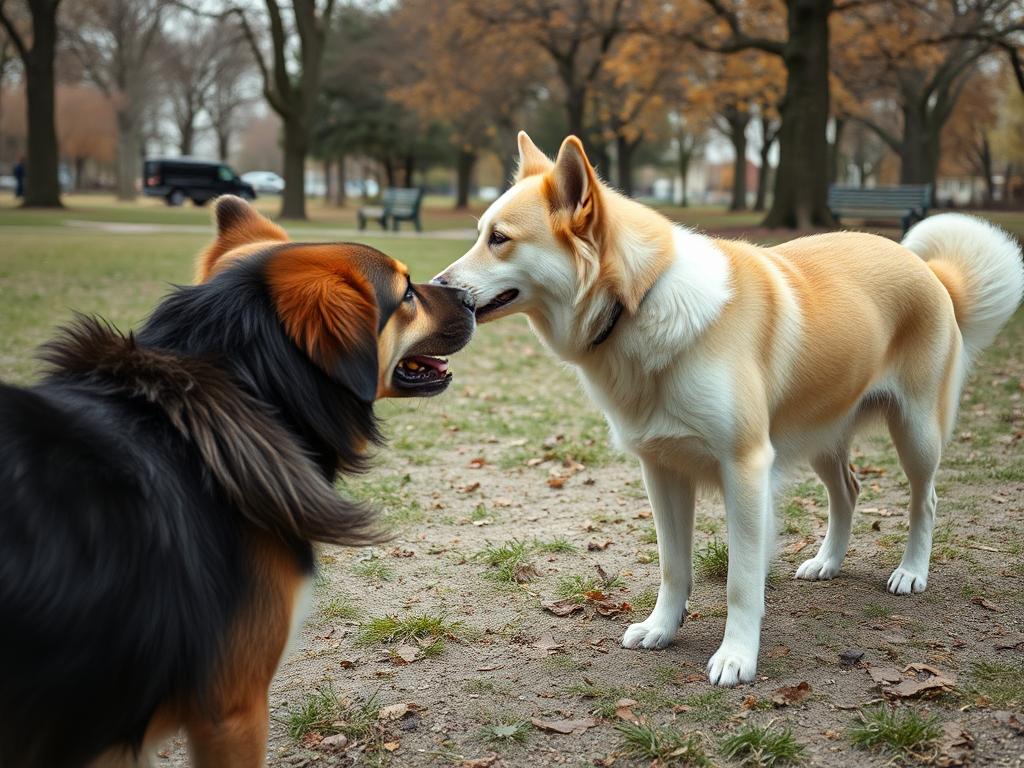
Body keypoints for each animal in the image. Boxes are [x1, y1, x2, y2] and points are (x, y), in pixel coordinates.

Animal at [434, 131, 1024, 684]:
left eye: (499, 239)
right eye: (480, 234)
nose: (439, 290)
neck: (639, 301)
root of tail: (931, 271)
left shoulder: (745, 468)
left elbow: (742, 580)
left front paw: (737, 657)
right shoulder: (662, 470)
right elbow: (673, 567)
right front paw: (662, 628)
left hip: (916, 432)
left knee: (926, 501)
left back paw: (911, 572)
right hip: (820, 436)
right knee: (849, 492)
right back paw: (827, 562)